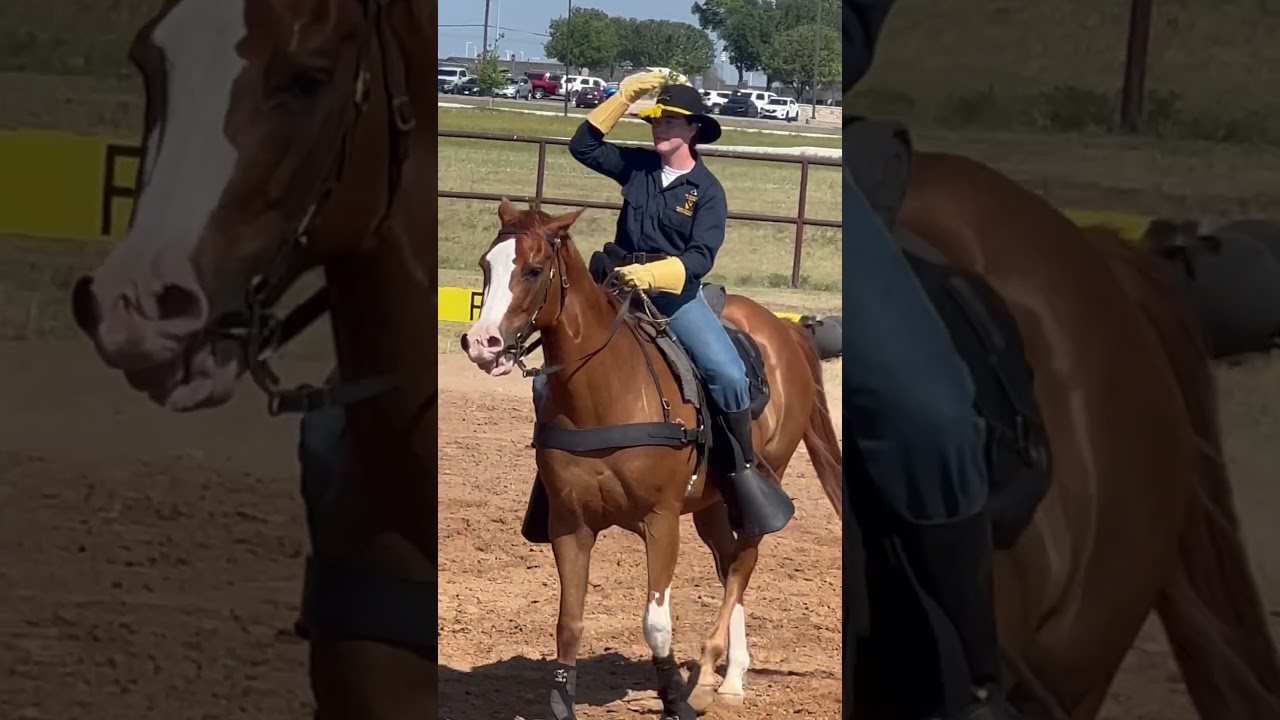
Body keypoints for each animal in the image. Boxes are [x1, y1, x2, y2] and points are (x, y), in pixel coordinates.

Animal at [459, 198, 844, 719]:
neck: (605, 391)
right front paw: (562, 700)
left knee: (743, 563)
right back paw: (730, 677)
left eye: (534, 270)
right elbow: (569, 622)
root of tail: (783, 330)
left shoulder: (661, 521)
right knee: (729, 563)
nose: (482, 343)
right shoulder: (570, 523)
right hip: (710, 504)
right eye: (486, 265)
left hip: (758, 483)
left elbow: (656, 622)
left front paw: (674, 697)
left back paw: (707, 676)